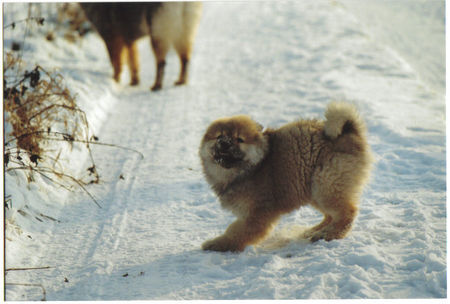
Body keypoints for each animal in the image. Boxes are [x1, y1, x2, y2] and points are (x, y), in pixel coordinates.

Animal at [200, 102, 372, 252]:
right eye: (219, 136)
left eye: (239, 139)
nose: (224, 143)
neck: (252, 168)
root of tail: (350, 131)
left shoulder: (258, 213)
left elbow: (236, 232)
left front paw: (216, 244)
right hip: (314, 189)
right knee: (330, 216)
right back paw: (315, 231)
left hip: (326, 185)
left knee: (346, 214)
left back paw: (329, 234)